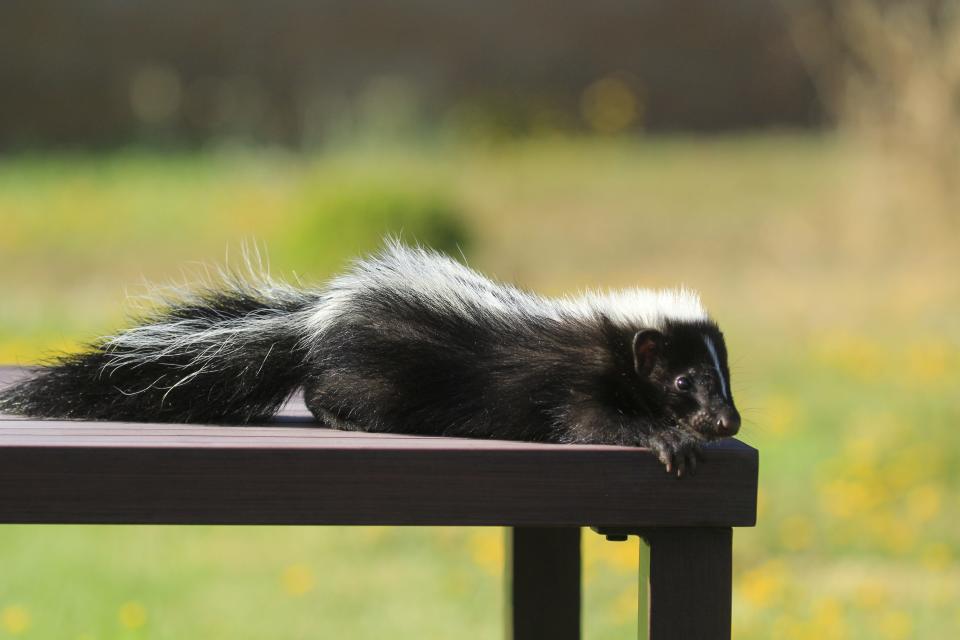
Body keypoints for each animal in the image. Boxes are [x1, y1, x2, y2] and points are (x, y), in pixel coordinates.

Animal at [0, 241, 744, 476]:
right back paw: (348, 420)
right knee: (333, 395)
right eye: (684, 380)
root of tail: (316, 315)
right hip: (372, 369)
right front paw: (667, 439)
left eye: (726, 377)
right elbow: (591, 422)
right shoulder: (572, 381)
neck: (606, 333)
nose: (727, 421)